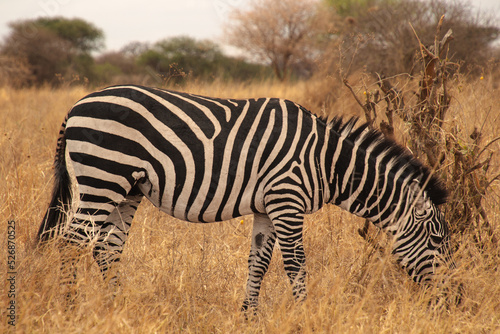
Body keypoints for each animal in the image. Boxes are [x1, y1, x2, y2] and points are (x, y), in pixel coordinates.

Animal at [38, 84, 454, 310]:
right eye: (438, 239)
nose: (455, 297)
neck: (327, 162)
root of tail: (77, 105)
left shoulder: (268, 208)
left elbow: (259, 262)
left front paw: (249, 315)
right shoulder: (287, 200)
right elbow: (295, 264)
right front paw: (303, 313)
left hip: (127, 188)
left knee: (106, 247)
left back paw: (116, 305)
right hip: (102, 176)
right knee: (71, 242)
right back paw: (70, 308)